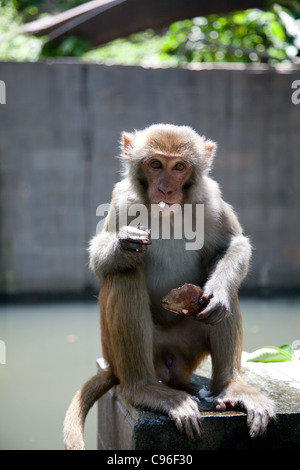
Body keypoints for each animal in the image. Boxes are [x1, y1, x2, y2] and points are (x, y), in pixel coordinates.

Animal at [63, 123, 274, 450]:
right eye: (155, 164)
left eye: (179, 167)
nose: (164, 189)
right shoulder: (122, 199)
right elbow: (100, 262)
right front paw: (124, 244)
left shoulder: (210, 198)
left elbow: (231, 246)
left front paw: (220, 294)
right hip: (119, 352)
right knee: (124, 276)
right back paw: (145, 390)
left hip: (188, 348)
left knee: (227, 297)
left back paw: (230, 386)